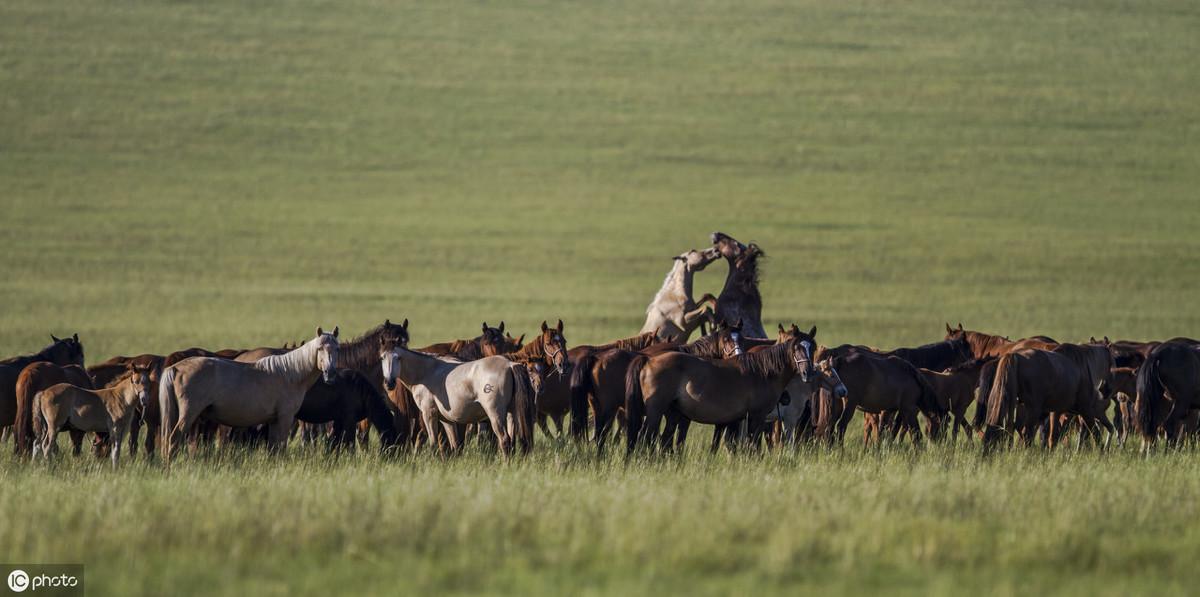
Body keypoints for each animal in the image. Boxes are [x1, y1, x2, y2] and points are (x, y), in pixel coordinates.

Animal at [158, 326, 338, 462]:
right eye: (320, 348)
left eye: (337, 348)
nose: (330, 374)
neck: (289, 373)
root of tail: (176, 368)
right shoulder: (284, 418)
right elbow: (280, 447)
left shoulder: (273, 421)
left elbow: (274, 449)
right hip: (188, 414)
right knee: (173, 440)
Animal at [379, 335, 535, 457]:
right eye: (382, 358)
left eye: (398, 358)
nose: (389, 383)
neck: (426, 372)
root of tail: (509, 365)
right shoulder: (446, 419)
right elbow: (454, 445)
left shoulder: (428, 413)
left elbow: (433, 443)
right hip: (511, 414)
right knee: (512, 441)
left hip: (495, 414)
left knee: (504, 440)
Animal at [624, 326, 820, 453]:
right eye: (797, 347)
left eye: (813, 348)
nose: (807, 373)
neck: (763, 372)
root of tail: (649, 360)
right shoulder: (756, 417)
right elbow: (753, 447)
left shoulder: (739, 420)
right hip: (655, 411)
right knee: (645, 437)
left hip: (671, 413)